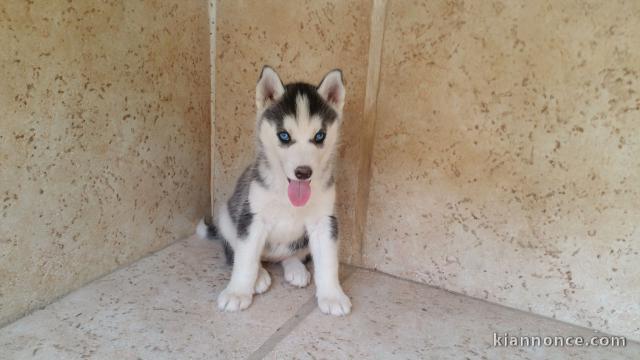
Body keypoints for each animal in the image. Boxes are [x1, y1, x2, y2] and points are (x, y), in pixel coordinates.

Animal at [198, 67, 352, 316]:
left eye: (319, 136)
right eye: (284, 135)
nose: (303, 172)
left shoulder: (325, 221)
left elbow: (328, 262)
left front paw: (333, 295)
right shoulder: (253, 217)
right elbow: (246, 259)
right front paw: (237, 292)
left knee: (289, 255)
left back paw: (295, 268)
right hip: (226, 216)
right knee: (239, 253)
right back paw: (259, 276)